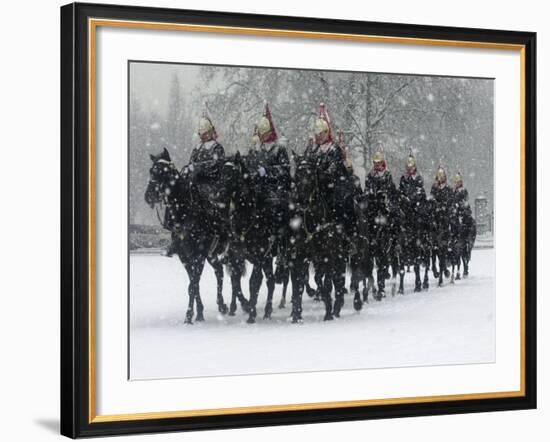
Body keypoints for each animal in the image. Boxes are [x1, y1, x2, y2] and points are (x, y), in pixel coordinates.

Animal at [144, 147, 231, 322]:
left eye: (164, 171)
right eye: (151, 170)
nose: (148, 196)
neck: (185, 214)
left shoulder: (199, 255)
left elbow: (194, 283)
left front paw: (190, 315)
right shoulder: (184, 256)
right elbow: (193, 284)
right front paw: (198, 313)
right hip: (211, 255)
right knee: (219, 271)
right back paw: (222, 305)